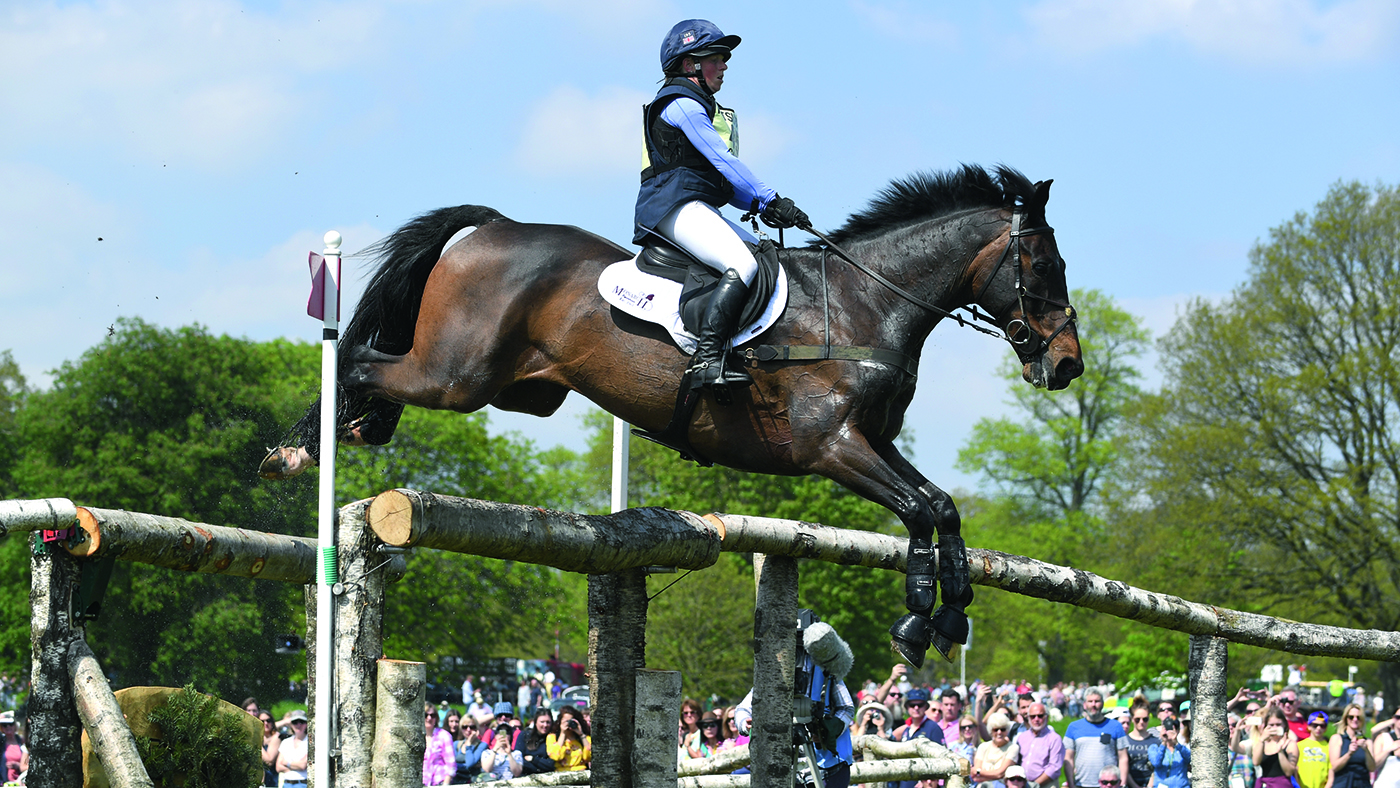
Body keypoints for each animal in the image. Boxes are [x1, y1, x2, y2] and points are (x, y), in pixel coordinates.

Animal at [261, 164, 1083, 667]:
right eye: (1046, 266)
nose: (1068, 365)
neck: (865, 302)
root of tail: (493, 226)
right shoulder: (831, 447)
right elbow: (917, 510)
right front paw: (917, 620)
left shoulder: (873, 441)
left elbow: (940, 508)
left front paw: (948, 615)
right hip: (455, 376)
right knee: (358, 358)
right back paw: (300, 449)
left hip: (515, 386)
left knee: (379, 370)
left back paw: (355, 429)